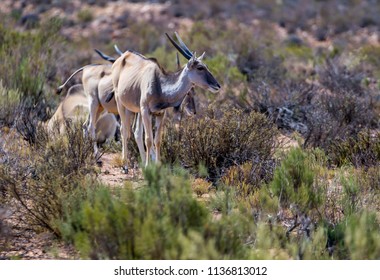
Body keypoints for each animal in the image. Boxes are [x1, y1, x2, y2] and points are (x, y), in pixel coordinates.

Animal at [110, 32, 220, 171]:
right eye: (200, 67)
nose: (217, 85)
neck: (160, 84)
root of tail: (122, 57)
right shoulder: (146, 111)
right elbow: (149, 139)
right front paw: (148, 166)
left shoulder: (160, 114)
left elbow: (157, 140)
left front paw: (156, 166)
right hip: (121, 103)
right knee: (124, 130)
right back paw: (125, 165)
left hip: (135, 110)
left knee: (136, 132)